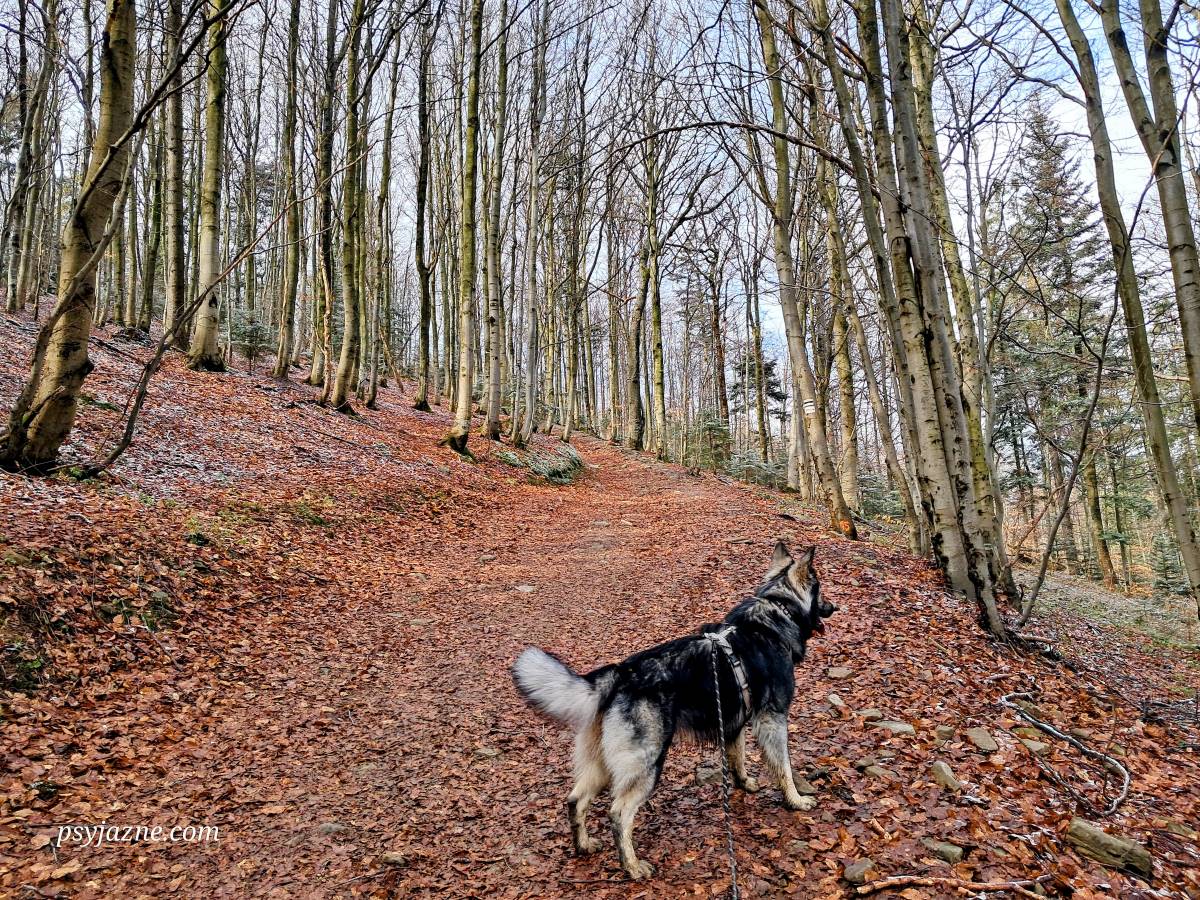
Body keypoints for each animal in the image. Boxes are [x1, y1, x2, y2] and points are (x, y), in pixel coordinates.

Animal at [511, 541, 836, 880]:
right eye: (821, 591)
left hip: (601, 764)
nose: (833, 607)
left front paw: (743, 783)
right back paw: (632, 866)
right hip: (647, 762)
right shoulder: (773, 720)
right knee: (619, 813)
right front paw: (795, 800)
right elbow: (784, 767)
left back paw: (584, 846)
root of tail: (620, 674)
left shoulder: (733, 723)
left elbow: (738, 758)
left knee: (575, 801)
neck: (777, 610)